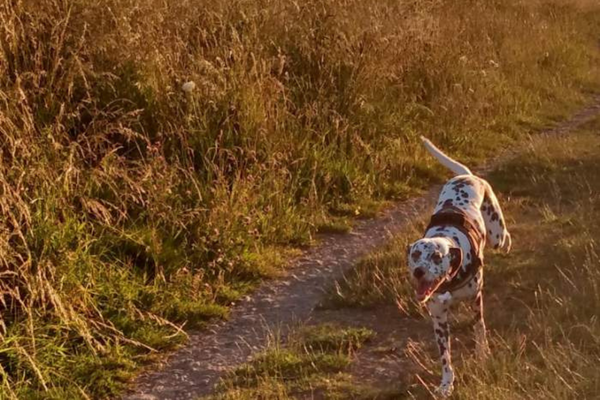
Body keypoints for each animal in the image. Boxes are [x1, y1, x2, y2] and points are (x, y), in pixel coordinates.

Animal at [408, 138, 510, 396]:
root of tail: (467, 176)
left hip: (495, 232)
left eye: (436, 256)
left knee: (504, 237)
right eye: (415, 255)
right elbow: (445, 357)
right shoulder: (438, 319)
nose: (419, 271)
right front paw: (446, 384)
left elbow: (479, 329)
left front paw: (483, 355)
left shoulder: (476, 300)